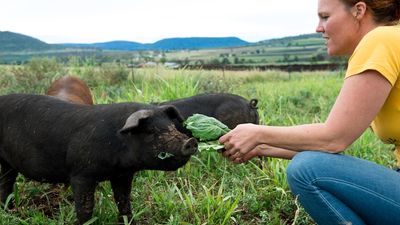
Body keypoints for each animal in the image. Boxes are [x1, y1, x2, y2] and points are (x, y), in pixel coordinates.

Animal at [0, 92, 197, 223]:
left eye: (172, 126)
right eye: (150, 132)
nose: (191, 141)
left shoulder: (123, 175)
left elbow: (124, 201)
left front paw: (129, 221)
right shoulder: (81, 174)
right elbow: (85, 207)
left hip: (7, 164)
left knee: (6, 182)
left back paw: (7, 210)